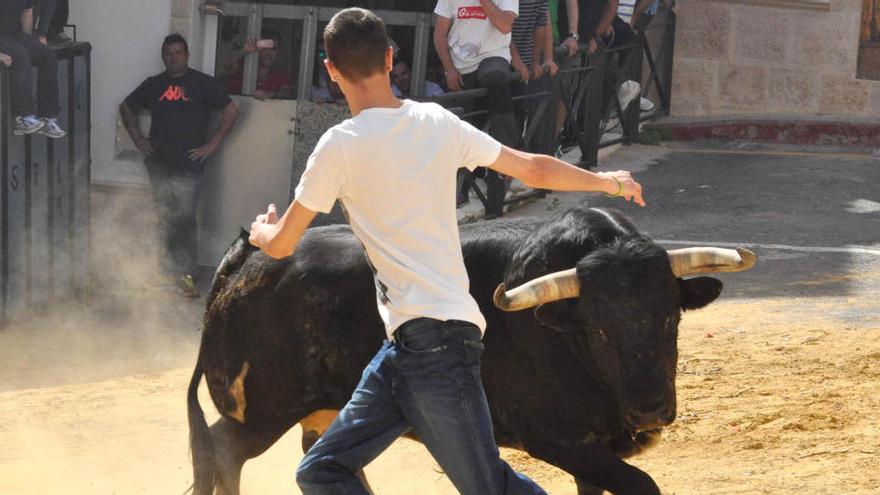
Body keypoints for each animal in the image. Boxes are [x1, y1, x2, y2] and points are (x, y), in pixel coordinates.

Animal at [186, 206, 756, 495]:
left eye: (671, 316)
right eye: (598, 329)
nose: (651, 410)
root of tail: (246, 257)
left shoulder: (592, 451)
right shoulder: (560, 440)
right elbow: (642, 485)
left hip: (324, 409)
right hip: (262, 412)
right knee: (224, 451)